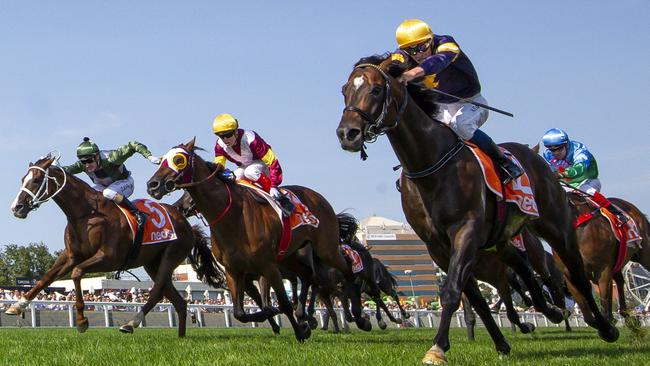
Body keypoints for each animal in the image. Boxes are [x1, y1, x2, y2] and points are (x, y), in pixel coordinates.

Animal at [6, 154, 225, 338]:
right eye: (22, 179)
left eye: (36, 180)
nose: (17, 207)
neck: (86, 214)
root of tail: (187, 224)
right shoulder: (70, 255)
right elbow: (46, 278)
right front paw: (17, 305)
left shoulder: (109, 258)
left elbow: (76, 273)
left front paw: (82, 321)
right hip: (152, 264)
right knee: (178, 301)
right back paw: (180, 337)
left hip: (171, 256)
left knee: (157, 292)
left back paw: (131, 324)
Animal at [336, 59, 616, 364]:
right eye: (345, 91)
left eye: (376, 89)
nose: (347, 133)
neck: (429, 163)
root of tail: (535, 156)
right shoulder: (437, 245)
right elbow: (475, 298)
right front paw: (500, 343)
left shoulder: (466, 230)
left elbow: (452, 291)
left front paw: (437, 348)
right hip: (499, 240)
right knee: (522, 269)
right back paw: (551, 310)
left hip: (555, 227)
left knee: (574, 276)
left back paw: (605, 326)